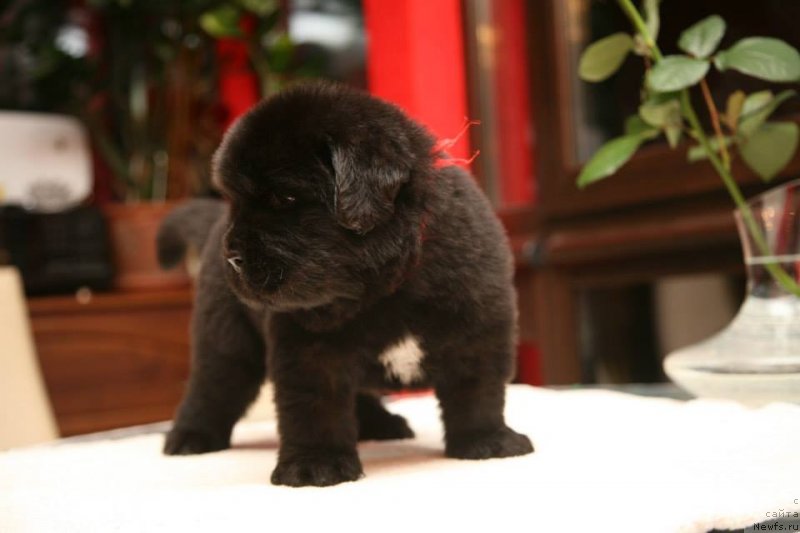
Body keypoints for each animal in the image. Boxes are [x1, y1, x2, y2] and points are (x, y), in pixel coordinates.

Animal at [158, 82, 532, 486]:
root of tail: (214, 228)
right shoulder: (307, 348)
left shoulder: (478, 329)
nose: (234, 257)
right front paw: (315, 464)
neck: (386, 291)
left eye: (285, 197)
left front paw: (486, 441)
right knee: (213, 385)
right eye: (236, 200)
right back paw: (189, 437)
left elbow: (478, 390)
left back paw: (380, 425)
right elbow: (314, 405)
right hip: (226, 337)